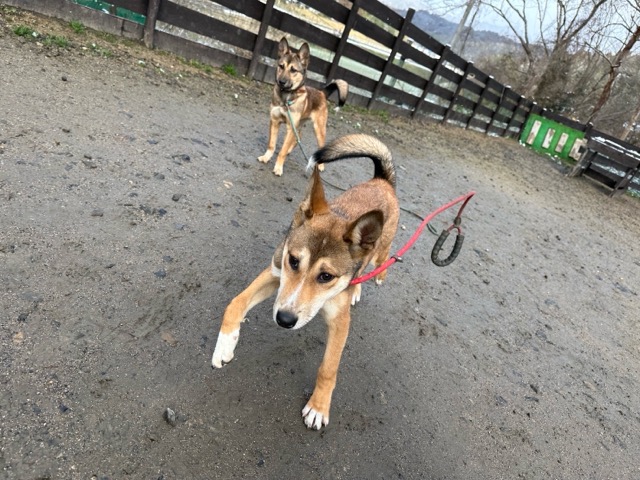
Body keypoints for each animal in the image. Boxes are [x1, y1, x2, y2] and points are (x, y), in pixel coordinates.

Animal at [212, 134, 399, 430]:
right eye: (293, 260)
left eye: (326, 276)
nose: (284, 320)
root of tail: (382, 180)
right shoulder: (276, 275)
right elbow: (235, 303)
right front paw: (225, 345)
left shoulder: (339, 321)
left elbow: (328, 368)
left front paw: (318, 406)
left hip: (381, 249)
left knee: (378, 259)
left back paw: (373, 277)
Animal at [258, 37, 349, 176]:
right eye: (281, 66)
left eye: (293, 70)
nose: (281, 82)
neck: (286, 98)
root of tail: (322, 93)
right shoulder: (275, 121)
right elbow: (271, 145)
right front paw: (266, 157)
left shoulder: (290, 127)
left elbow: (282, 151)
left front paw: (278, 167)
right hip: (299, 124)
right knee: (298, 136)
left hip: (319, 129)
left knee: (319, 145)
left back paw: (320, 165)